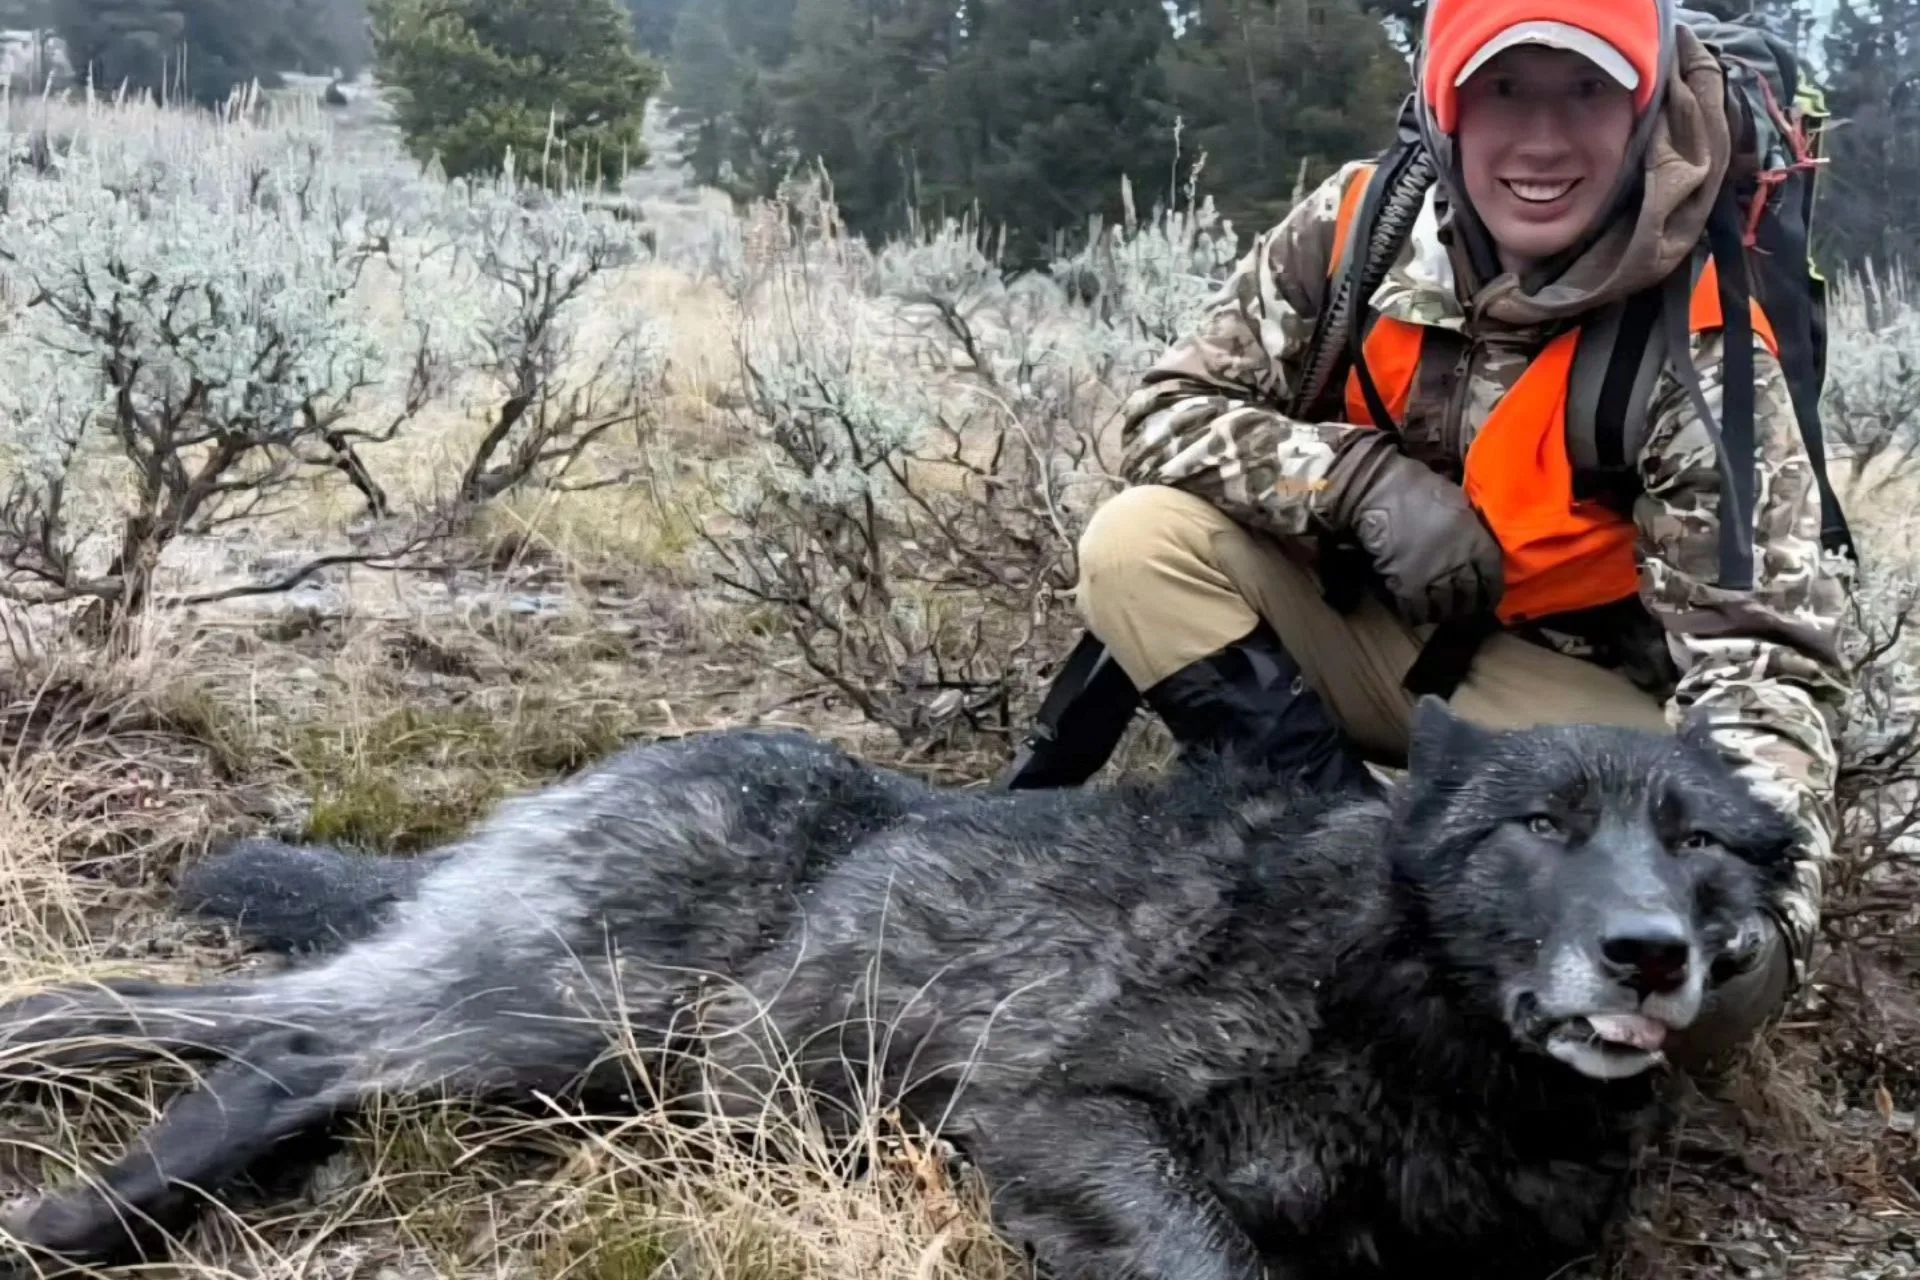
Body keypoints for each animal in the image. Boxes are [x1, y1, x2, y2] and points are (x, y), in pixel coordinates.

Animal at [0, 697, 1800, 1280]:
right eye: (1539, 826)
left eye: (1701, 841)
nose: (1650, 956)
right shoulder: (1059, 1115)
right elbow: (1206, 1250)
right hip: (561, 1009)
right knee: (276, 1036)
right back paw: (85, 1203)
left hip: (574, 1051)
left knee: (246, 1033)